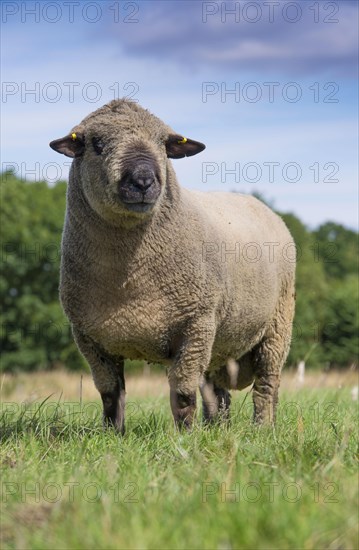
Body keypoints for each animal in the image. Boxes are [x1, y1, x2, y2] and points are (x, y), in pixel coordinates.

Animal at [49, 100, 296, 436]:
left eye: (163, 145)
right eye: (97, 144)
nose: (143, 180)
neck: (130, 282)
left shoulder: (195, 326)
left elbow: (182, 394)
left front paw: (185, 438)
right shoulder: (89, 338)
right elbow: (111, 395)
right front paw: (113, 435)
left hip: (276, 326)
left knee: (266, 386)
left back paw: (262, 428)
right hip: (218, 340)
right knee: (218, 393)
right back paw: (218, 428)